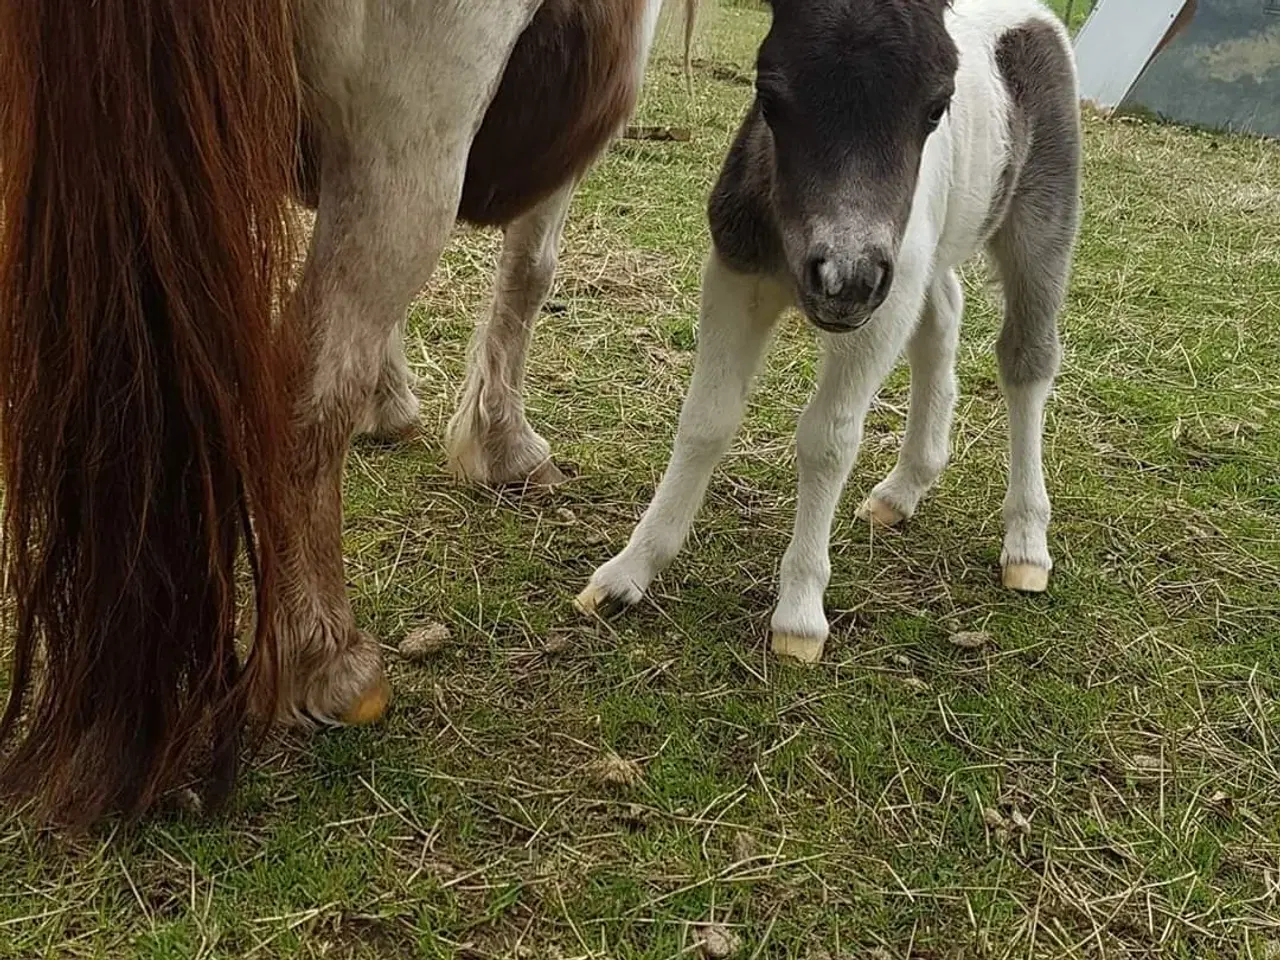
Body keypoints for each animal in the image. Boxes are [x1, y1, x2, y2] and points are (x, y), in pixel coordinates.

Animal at [0, 0, 691, 829]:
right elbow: (529, 272)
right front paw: (504, 445)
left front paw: (390, 406)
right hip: (408, 139)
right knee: (312, 382)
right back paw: (328, 662)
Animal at [581, 0, 1080, 660]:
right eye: (768, 95)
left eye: (936, 106)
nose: (845, 277)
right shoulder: (737, 275)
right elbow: (706, 420)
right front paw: (630, 571)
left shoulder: (877, 309)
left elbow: (829, 440)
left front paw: (798, 613)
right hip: (925, 257)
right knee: (942, 315)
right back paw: (904, 488)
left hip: (1036, 223)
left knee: (1027, 358)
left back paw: (1025, 540)